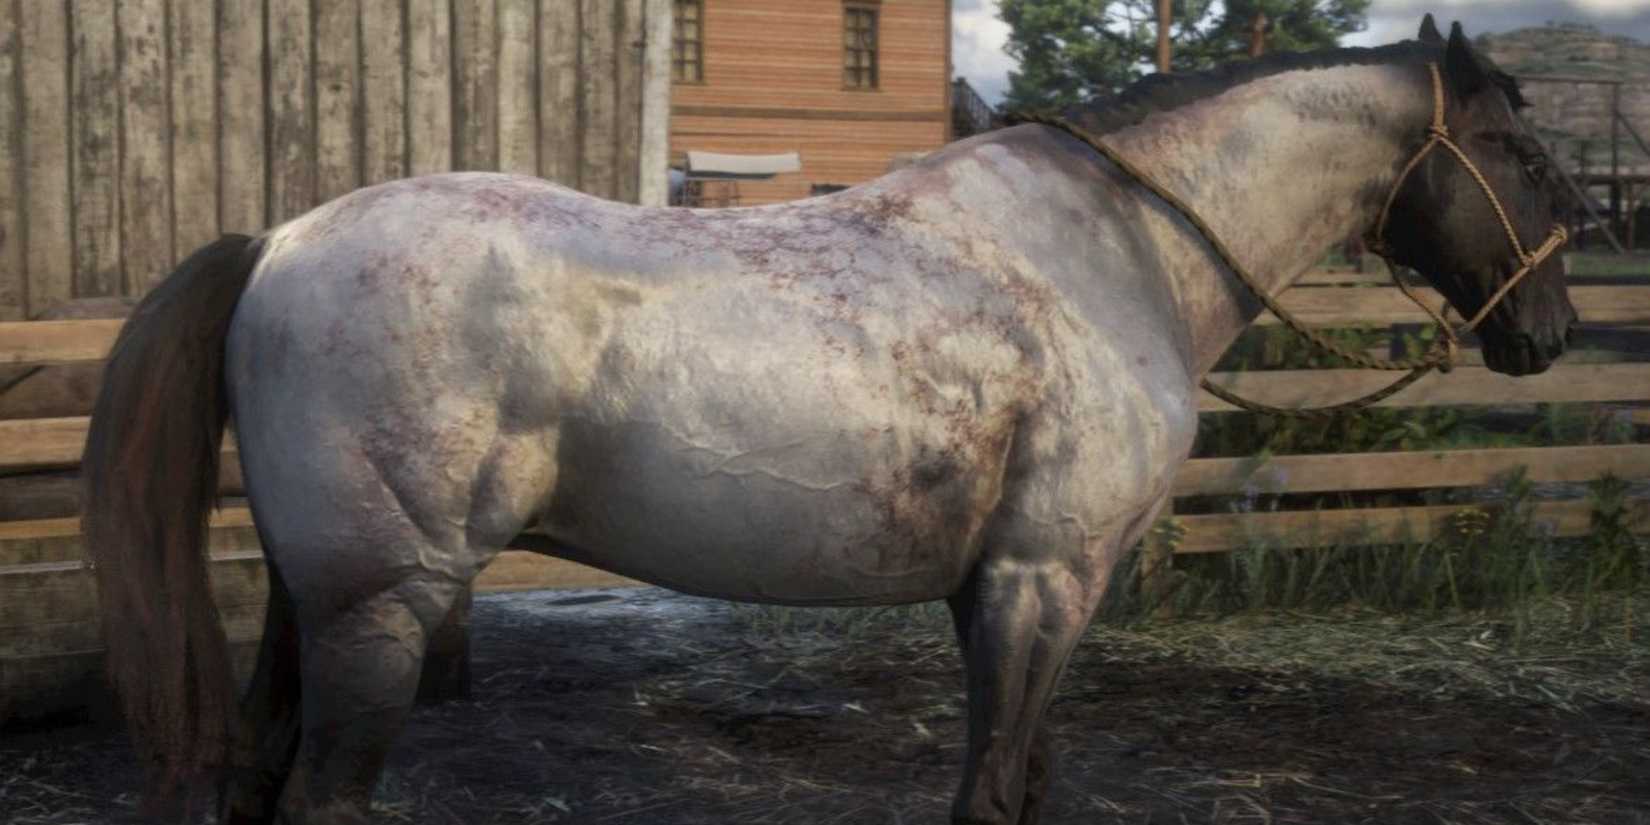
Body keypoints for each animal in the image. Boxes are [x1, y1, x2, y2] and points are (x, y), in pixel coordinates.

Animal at [82, 17, 1575, 825]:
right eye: (1517, 151)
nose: (1546, 330)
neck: (1113, 253)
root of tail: (277, 243)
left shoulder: (1013, 592)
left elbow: (1026, 778)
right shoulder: (1041, 582)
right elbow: (991, 789)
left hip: (314, 604)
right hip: (383, 608)